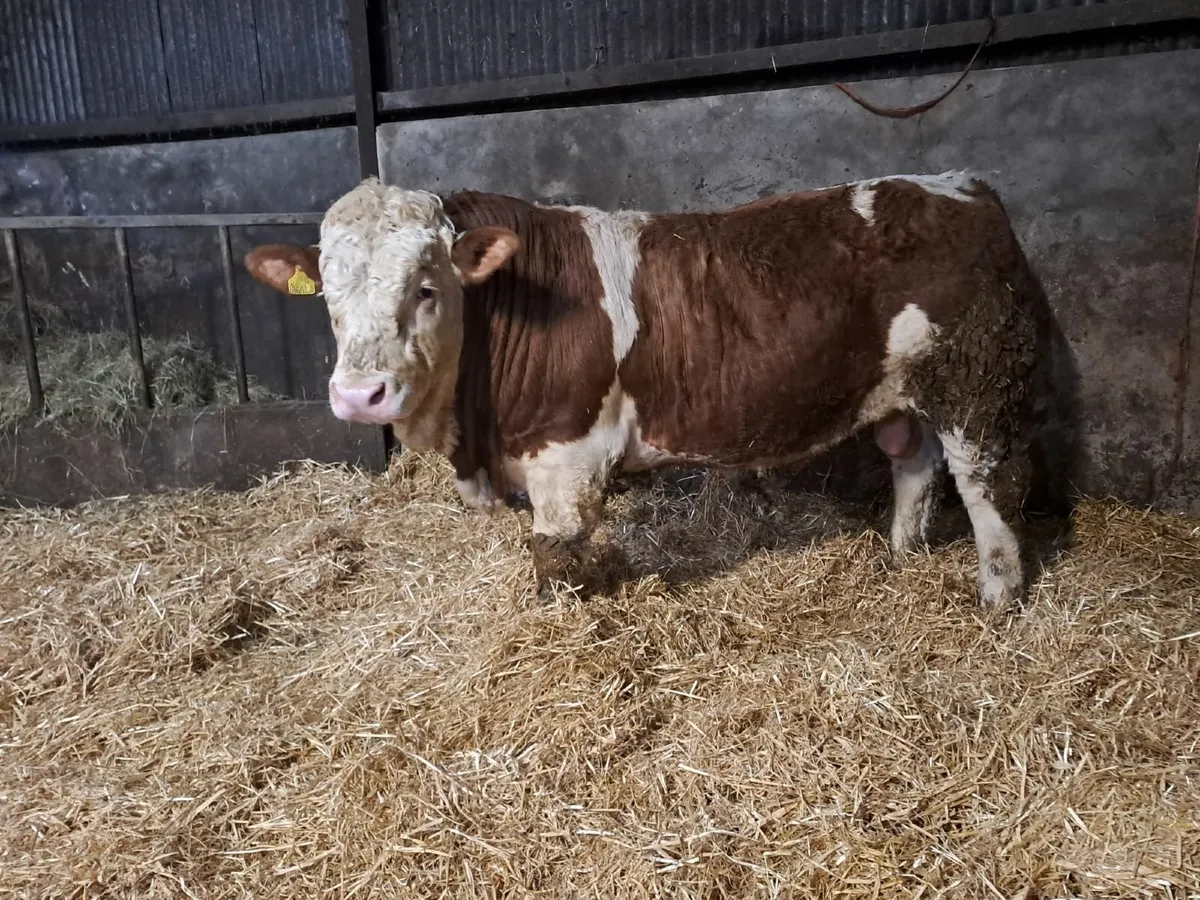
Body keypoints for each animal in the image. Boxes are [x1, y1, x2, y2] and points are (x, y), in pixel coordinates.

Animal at [245, 171, 1057, 608]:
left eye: (426, 287)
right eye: (328, 296)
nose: (360, 396)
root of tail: (963, 188)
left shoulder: (567, 454)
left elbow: (554, 553)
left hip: (979, 382)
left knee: (989, 484)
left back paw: (998, 596)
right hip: (906, 392)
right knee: (915, 463)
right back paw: (902, 556)